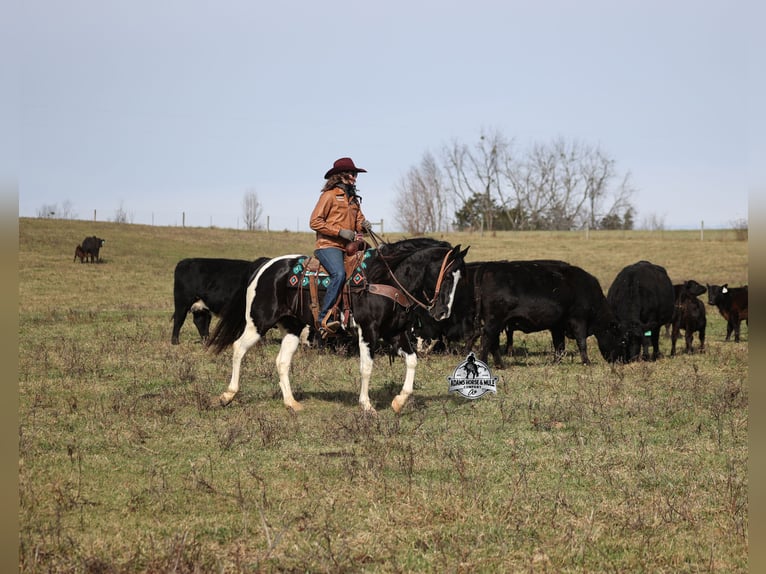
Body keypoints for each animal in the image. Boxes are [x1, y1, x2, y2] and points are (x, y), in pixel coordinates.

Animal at [208, 237, 469, 413]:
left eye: (460, 278)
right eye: (448, 275)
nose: (443, 312)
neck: (386, 278)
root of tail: (267, 265)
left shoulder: (395, 333)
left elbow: (413, 361)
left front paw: (398, 401)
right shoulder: (368, 331)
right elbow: (366, 367)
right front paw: (366, 405)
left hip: (292, 328)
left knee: (282, 362)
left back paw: (291, 403)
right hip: (258, 323)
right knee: (239, 348)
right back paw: (227, 395)